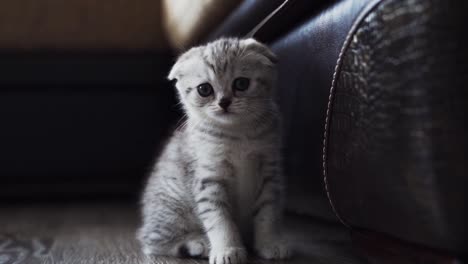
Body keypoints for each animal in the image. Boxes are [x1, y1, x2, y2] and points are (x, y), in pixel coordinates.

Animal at [137, 37, 288, 264]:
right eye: (204, 89)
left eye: (241, 84)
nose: (224, 102)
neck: (237, 133)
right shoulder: (209, 177)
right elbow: (219, 219)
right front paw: (227, 249)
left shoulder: (269, 171)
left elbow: (267, 213)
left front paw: (269, 243)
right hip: (172, 209)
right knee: (153, 243)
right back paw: (199, 243)